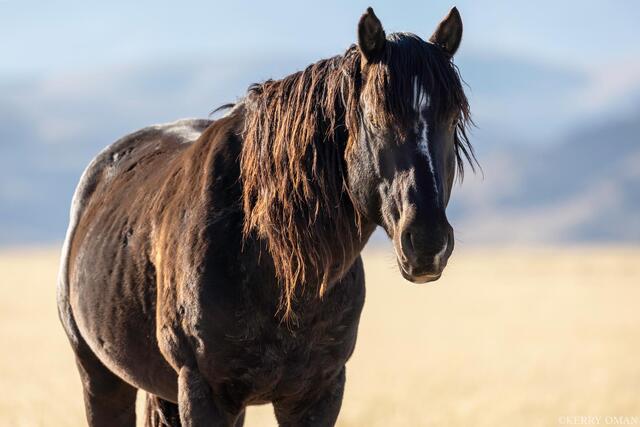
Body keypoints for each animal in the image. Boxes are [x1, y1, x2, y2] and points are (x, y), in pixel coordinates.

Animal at [58, 7, 475, 426]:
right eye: (375, 119)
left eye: (453, 117)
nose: (427, 241)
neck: (275, 267)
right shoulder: (204, 391)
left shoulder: (319, 394)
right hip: (99, 375)